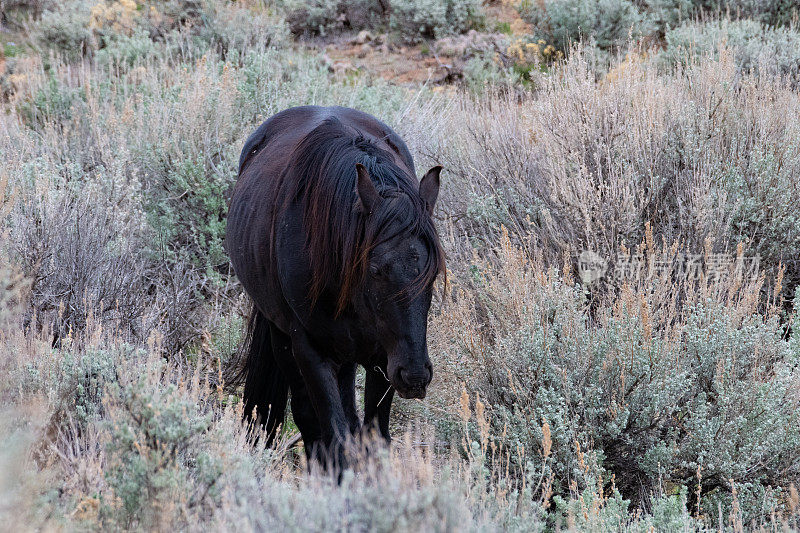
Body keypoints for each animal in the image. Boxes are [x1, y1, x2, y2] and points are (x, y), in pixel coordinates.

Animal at [227, 106, 444, 468]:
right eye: (376, 270)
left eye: (434, 273)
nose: (414, 376)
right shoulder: (311, 351)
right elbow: (332, 436)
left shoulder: (383, 356)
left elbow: (373, 437)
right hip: (283, 336)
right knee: (309, 419)